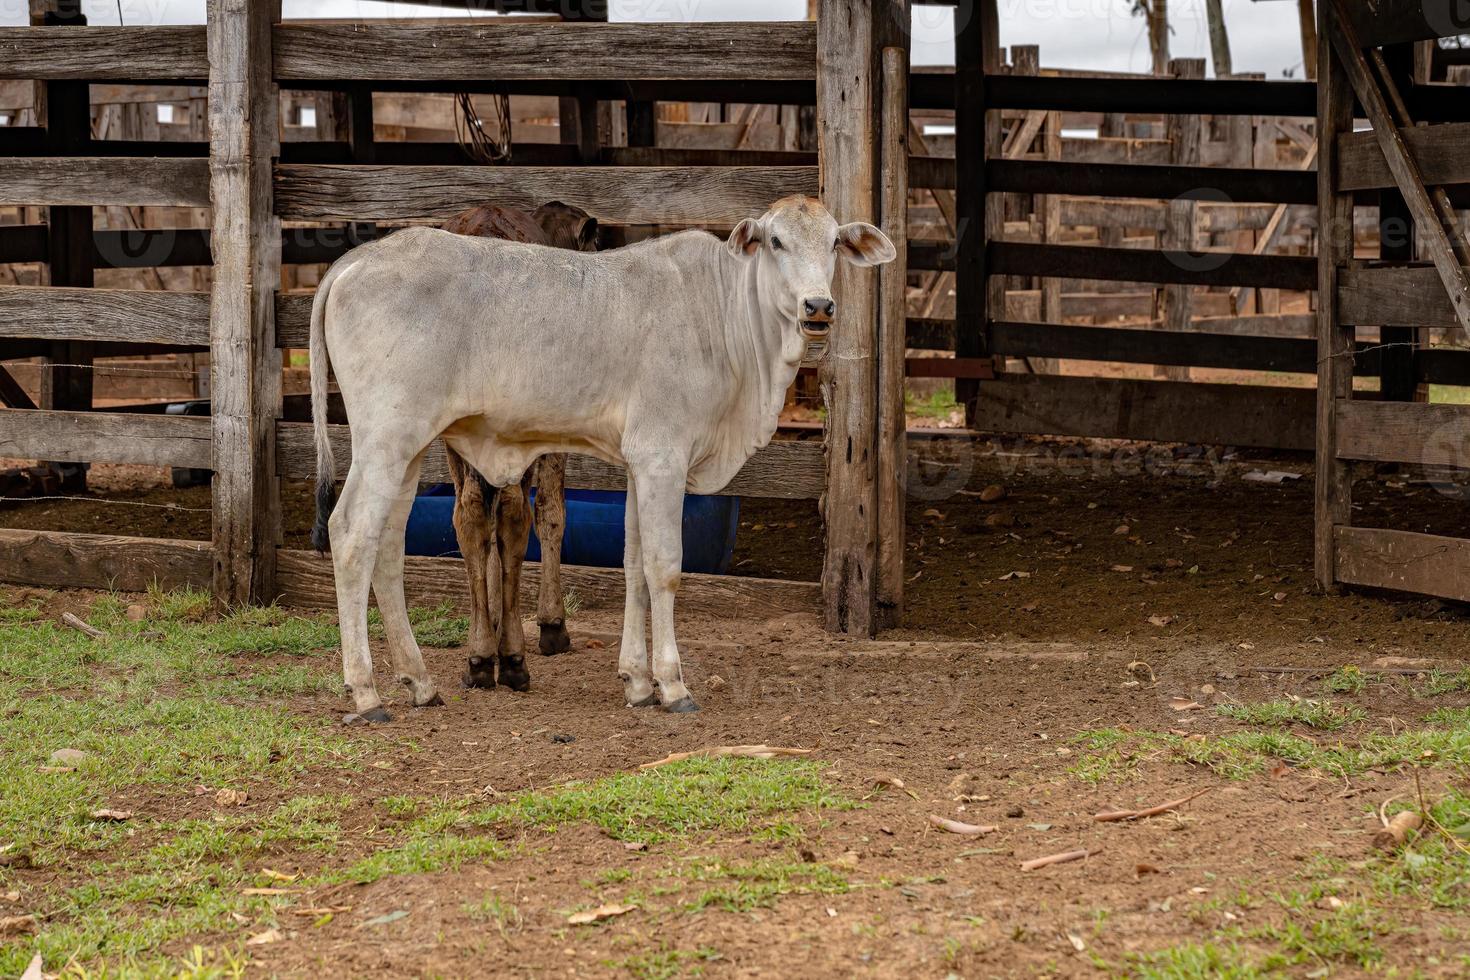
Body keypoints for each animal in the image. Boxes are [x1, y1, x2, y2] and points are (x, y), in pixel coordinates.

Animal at [310, 196, 893, 719]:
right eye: (775, 241)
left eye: (834, 242)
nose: (819, 307)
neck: (723, 313)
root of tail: (355, 260)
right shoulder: (662, 457)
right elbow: (664, 568)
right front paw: (672, 684)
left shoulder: (640, 463)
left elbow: (634, 564)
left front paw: (636, 681)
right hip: (384, 441)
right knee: (350, 535)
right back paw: (365, 693)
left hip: (406, 450)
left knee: (387, 548)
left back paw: (420, 682)